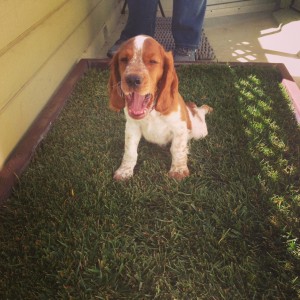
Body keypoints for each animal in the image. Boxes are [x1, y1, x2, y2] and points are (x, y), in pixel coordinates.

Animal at [108, 35, 211, 180]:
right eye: (123, 59)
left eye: (153, 61)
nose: (132, 79)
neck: (152, 112)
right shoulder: (132, 127)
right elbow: (130, 150)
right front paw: (124, 170)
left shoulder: (179, 128)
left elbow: (177, 149)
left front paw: (178, 170)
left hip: (199, 131)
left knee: (199, 113)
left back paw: (205, 108)